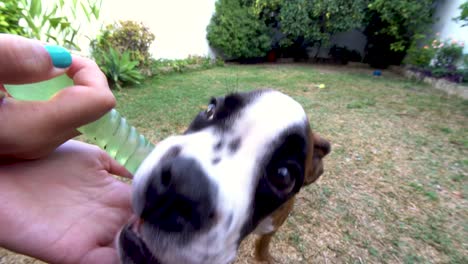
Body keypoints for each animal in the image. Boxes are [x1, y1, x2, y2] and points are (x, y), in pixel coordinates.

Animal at [118, 89, 330, 264]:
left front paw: (263, 257)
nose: (179, 187)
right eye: (210, 109)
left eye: (283, 175)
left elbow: (263, 244)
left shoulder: (273, 226)